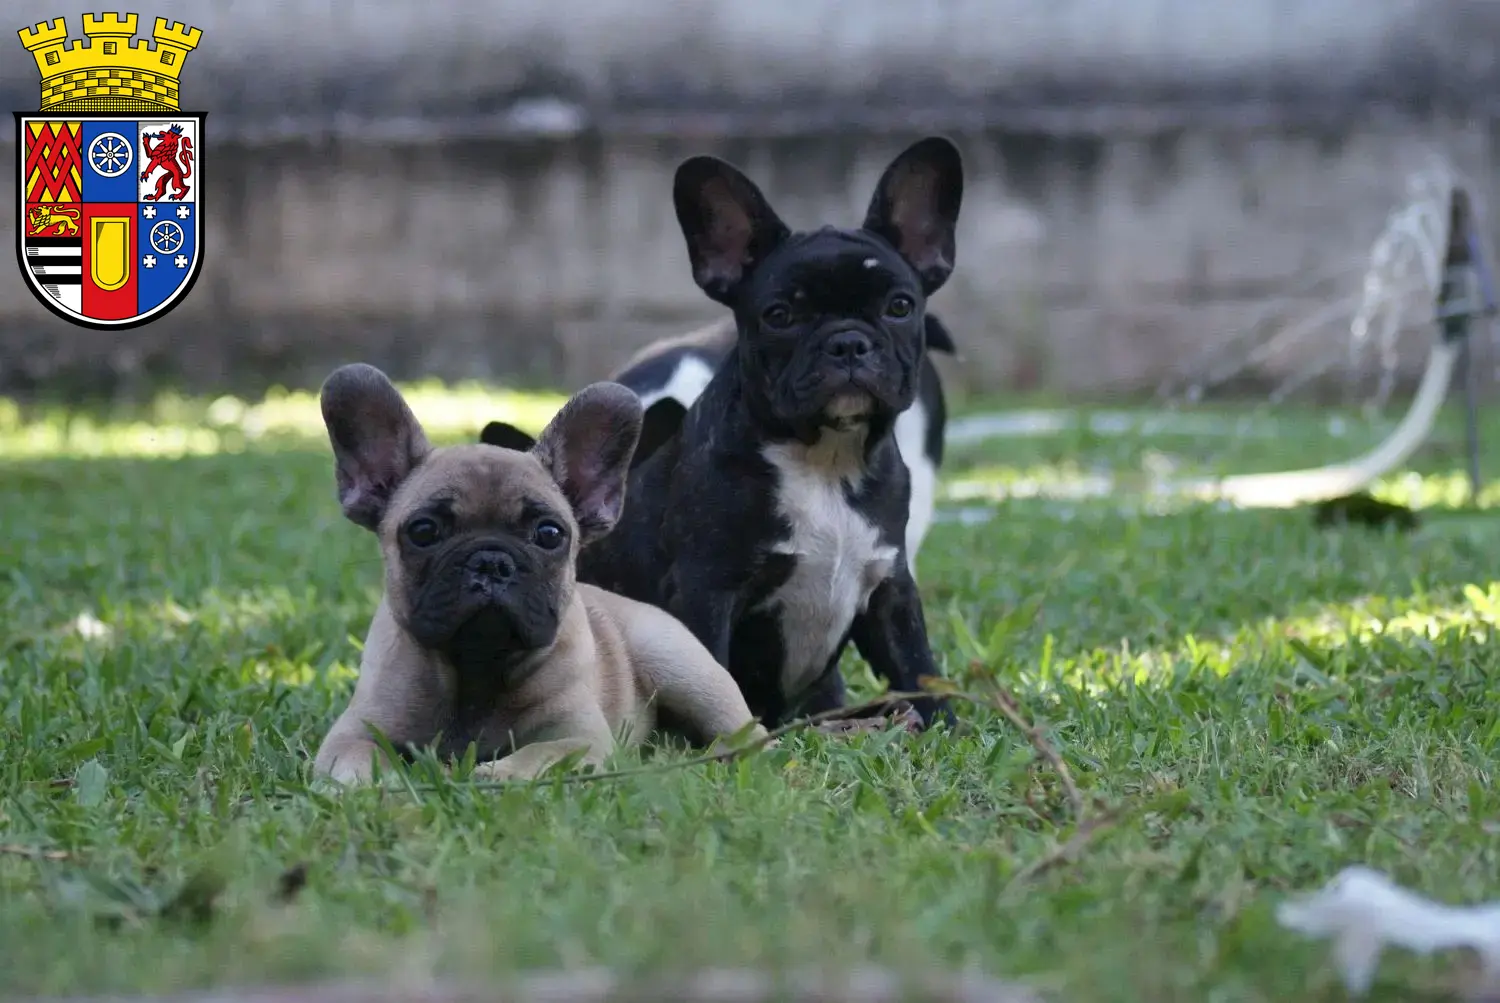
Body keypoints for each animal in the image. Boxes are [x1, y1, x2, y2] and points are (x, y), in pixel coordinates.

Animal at [313, 361, 762, 779]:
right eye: (423, 532)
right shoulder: (354, 732)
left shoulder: (580, 737)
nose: (491, 561)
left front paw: (490, 775)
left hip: (680, 664)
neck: (478, 667)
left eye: (549, 534)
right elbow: (358, 760)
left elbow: (538, 754)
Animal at [498, 134, 960, 728]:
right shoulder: (707, 588)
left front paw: (947, 726)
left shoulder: (891, 590)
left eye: (900, 306)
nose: (848, 342)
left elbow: (917, 665)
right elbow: (711, 667)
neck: (825, 459)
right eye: (779, 315)